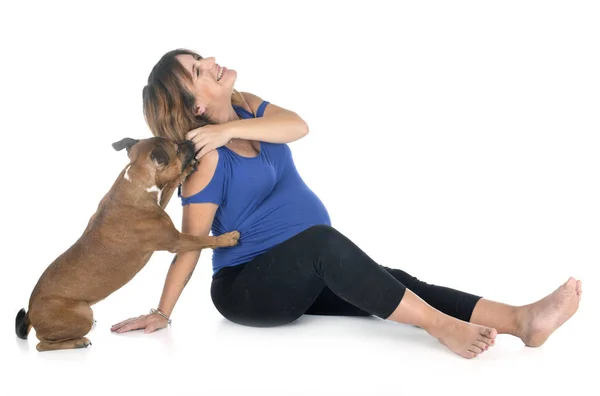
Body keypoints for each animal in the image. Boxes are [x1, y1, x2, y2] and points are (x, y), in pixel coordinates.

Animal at [14, 137, 239, 352]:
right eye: (176, 147)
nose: (190, 141)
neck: (137, 179)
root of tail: (31, 312)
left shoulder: (161, 204)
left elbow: (169, 187)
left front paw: (184, 173)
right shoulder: (177, 240)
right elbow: (202, 240)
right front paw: (227, 239)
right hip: (82, 313)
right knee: (42, 345)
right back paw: (78, 342)